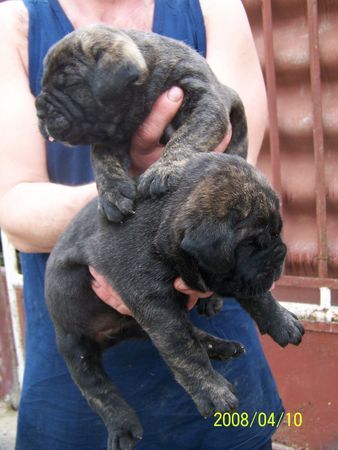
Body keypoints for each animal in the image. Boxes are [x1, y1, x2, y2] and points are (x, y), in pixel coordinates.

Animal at [35, 23, 247, 223]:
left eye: (71, 84)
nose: (40, 111)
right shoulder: (108, 138)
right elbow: (103, 163)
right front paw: (112, 193)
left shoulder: (205, 102)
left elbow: (186, 137)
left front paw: (163, 168)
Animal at [45, 153, 304, 448]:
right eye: (253, 242)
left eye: (277, 232)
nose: (281, 253)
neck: (161, 224)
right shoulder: (156, 304)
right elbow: (185, 352)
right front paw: (212, 391)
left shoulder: (236, 280)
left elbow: (259, 297)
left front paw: (281, 321)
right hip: (74, 344)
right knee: (98, 390)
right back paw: (123, 427)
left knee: (194, 334)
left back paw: (223, 347)